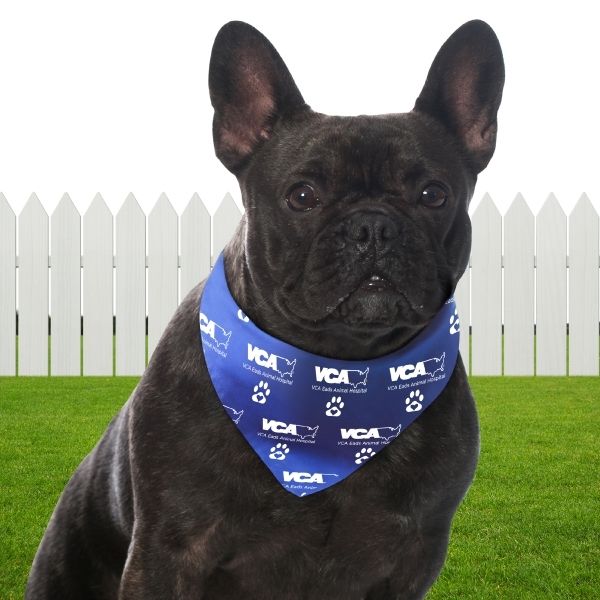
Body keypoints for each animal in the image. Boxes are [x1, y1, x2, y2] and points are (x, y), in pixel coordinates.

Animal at [28, 18, 504, 600]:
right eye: (302, 196)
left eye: (433, 194)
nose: (372, 225)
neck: (337, 370)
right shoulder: (168, 551)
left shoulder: (413, 558)